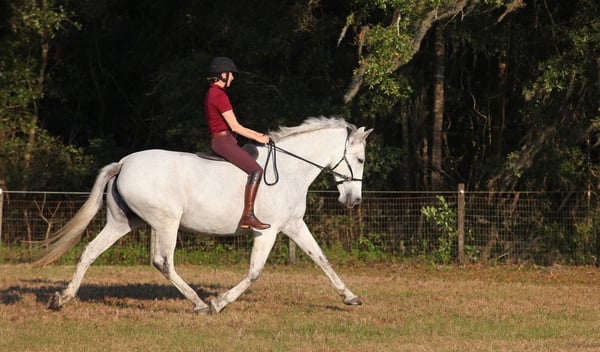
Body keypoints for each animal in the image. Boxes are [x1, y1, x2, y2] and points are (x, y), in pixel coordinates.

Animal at [35, 117, 372, 314]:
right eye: (359, 159)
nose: (353, 201)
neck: (290, 170)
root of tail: (123, 163)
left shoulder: (293, 226)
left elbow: (322, 260)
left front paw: (350, 297)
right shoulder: (268, 231)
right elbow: (254, 273)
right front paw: (218, 302)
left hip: (123, 223)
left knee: (90, 251)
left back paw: (62, 298)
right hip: (166, 223)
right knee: (163, 262)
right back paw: (198, 303)